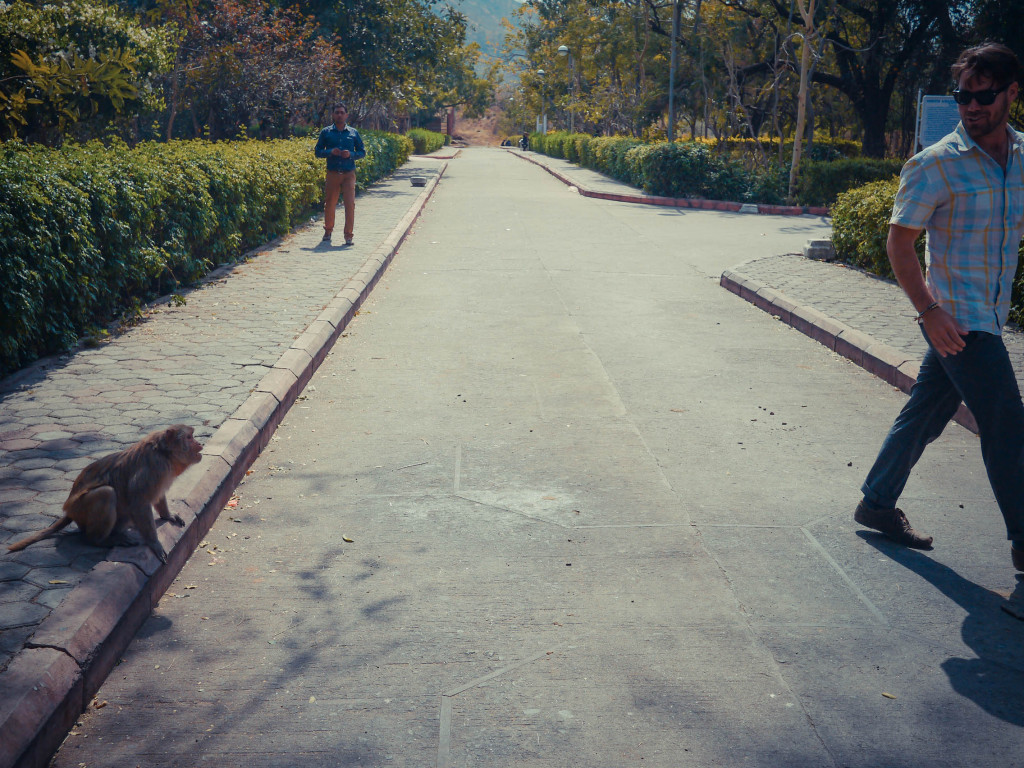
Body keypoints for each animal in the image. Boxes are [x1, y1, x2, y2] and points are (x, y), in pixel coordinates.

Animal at [7, 423, 201, 561]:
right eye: (189, 437)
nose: (199, 443)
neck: (164, 453)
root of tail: (69, 510)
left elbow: (157, 495)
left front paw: (167, 515)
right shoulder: (155, 467)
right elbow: (138, 500)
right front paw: (154, 543)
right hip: (80, 509)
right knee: (106, 494)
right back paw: (99, 540)